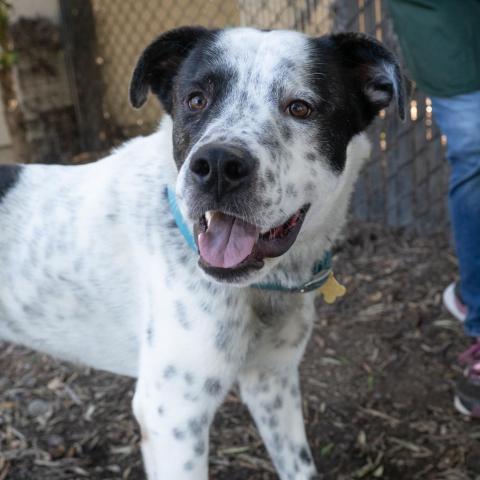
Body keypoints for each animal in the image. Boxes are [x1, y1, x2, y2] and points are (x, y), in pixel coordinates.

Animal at [0, 27, 404, 480]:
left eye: (301, 107)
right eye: (195, 99)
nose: (217, 165)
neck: (262, 285)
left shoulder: (272, 380)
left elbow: (299, 466)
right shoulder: (173, 413)